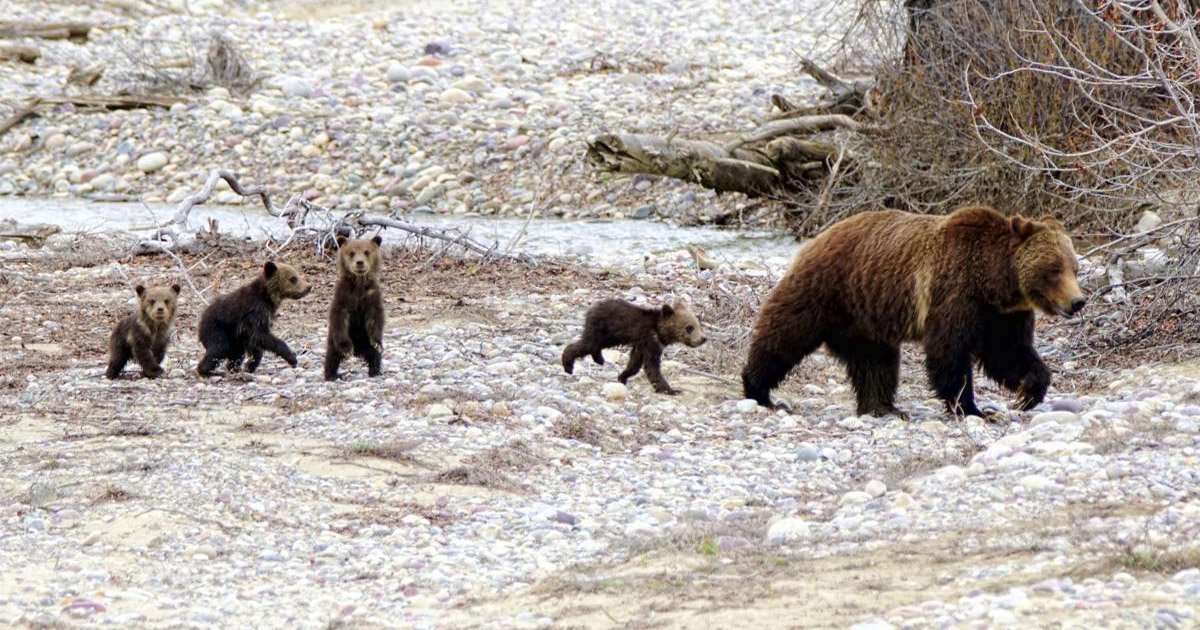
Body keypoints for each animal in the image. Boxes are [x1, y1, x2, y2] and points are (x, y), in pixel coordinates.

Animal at [324, 234, 384, 379]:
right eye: (352, 253)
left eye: (367, 252)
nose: (360, 262)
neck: (359, 284)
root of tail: (359, 351)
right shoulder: (344, 296)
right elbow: (340, 317)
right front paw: (347, 348)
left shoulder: (371, 296)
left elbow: (375, 318)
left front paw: (378, 343)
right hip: (332, 340)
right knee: (331, 356)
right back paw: (331, 375)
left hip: (365, 341)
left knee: (374, 355)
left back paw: (375, 371)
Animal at [559, 298, 700, 393]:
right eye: (689, 327)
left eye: (698, 324)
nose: (702, 339)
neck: (659, 331)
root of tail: (591, 308)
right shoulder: (650, 341)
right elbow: (652, 366)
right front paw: (671, 390)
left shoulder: (641, 344)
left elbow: (635, 363)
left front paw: (622, 376)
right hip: (603, 330)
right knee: (588, 344)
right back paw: (568, 365)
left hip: (609, 336)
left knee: (593, 345)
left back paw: (599, 359)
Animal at [739, 206, 1089, 417]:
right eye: (1054, 269)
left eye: (1074, 267)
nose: (1078, 301)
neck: (995, 282)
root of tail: (817, 237)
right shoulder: (956, 293)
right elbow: (950, 351)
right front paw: (970, 407)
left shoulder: (1003, 315)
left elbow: (1009, 353)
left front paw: (1029, 392)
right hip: (826, 290)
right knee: (785, 334)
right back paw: (759, 389)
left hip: (865, 319)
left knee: (875, 362)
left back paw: (883, 407)